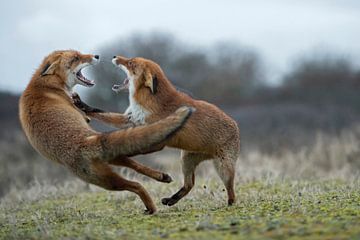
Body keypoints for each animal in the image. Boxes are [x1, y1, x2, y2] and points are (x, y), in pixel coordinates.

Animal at [75, 54, 239, 206]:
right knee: (189, 184)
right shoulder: (130, 120)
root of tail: (235, 124)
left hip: (224, 168)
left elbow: (135, 147)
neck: (145, 102)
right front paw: (82, 105)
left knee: (230, 189)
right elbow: (100, 113)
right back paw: (171, 199)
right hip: (186, 160)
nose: (115, 56)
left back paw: (230, 204)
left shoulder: (158, 137)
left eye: (130, 63)